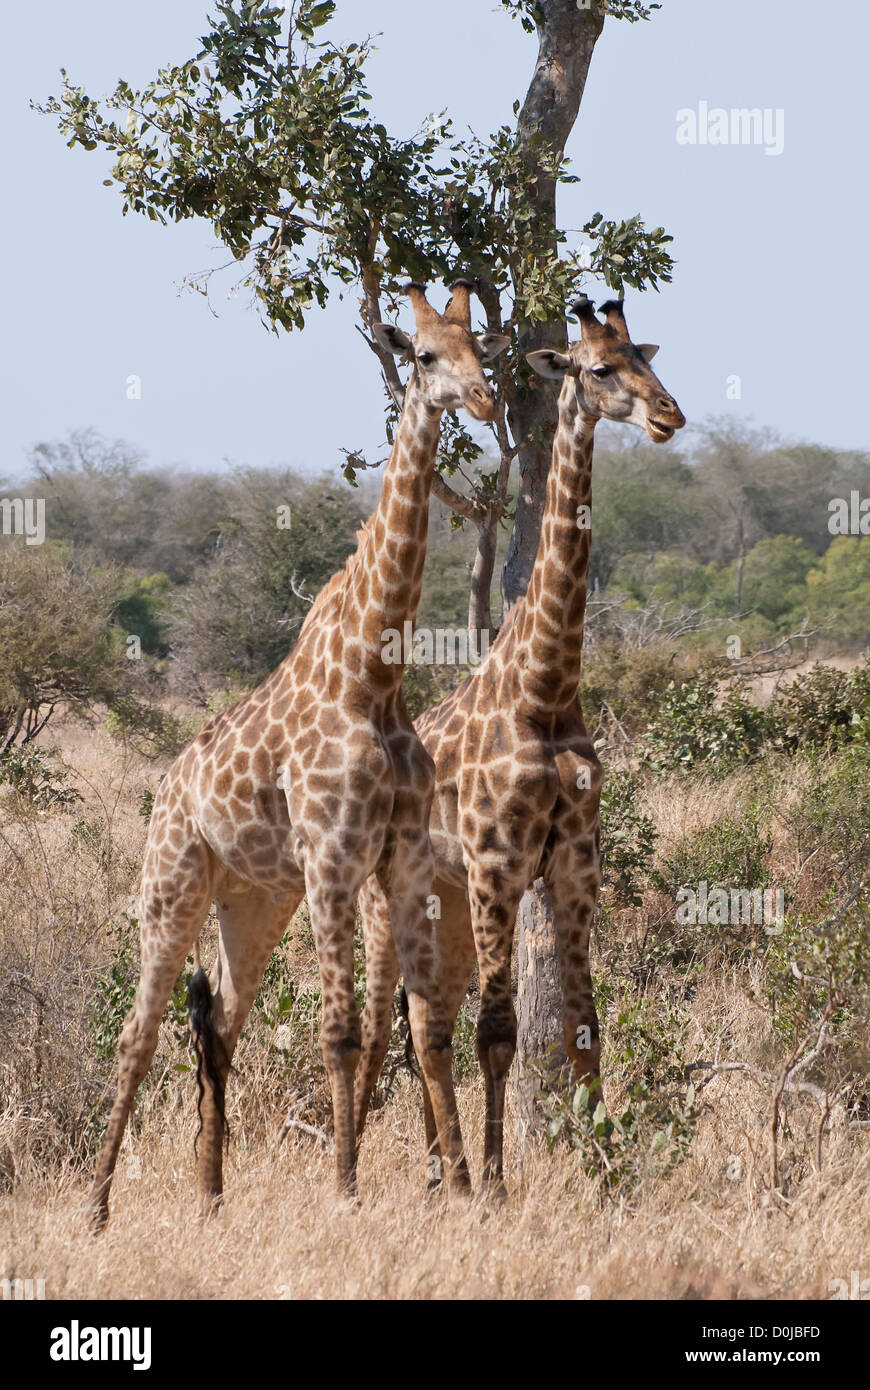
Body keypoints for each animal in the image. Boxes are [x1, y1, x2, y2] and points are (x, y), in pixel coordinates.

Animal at [86, 282, 508, 1228]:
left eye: (482, 348)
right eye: (426, 354)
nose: (484, 401)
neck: (371, 672)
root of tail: (169, 785)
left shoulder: (401, 857)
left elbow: (425, 1026)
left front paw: (463, 1190)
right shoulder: (333, 857)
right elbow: (342, 1031)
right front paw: (346, 1190)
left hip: (253, 901)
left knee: (219, 1026)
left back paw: (211, 1198)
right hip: (172, 882)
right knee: (137, 1035)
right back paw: (95, 1209)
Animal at [354, 293, 683, 1184]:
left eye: (647, 360)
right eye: (599, 369)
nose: (669, 416)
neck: (547, 690)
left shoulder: (574, 862)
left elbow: (582, 1028)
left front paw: (608, 1174)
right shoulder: (500, 860)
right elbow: (498, 1034)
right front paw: (501, 1185)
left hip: (448, 911)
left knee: (422, 1024)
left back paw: (441, 1170)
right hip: (385, 907)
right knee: (385, 1032)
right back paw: (413, 1171)